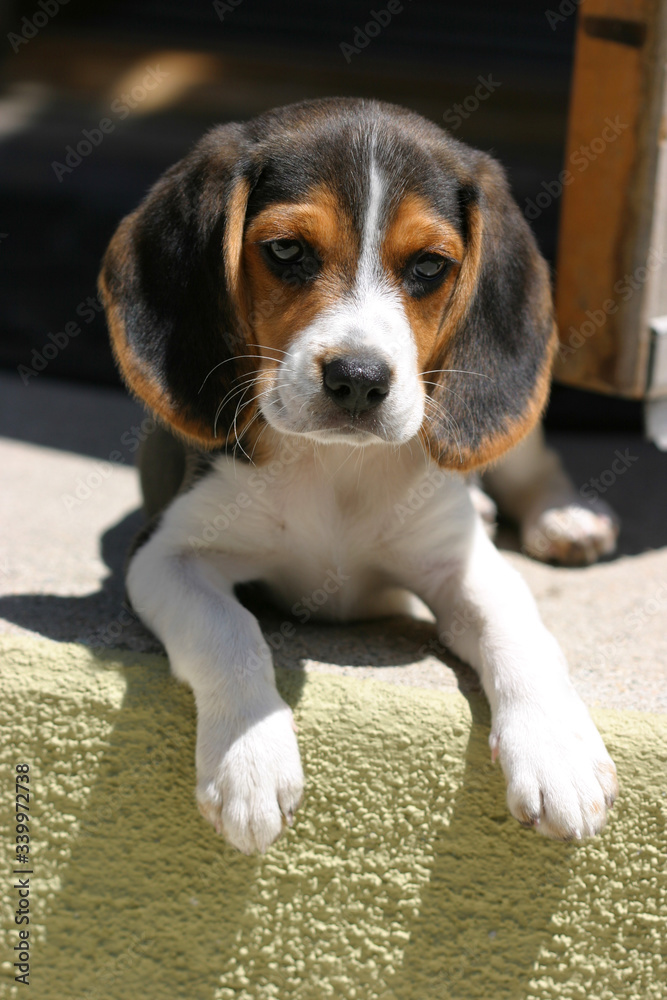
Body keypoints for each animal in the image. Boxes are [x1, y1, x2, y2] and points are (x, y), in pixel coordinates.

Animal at [100, 99, 620, 852]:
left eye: (430, 265)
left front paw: (558, 753)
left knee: (532, 464)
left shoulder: (462, 565)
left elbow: (519, 629)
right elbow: (228, 629)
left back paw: (565, 520)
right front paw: (249, 758)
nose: (358, 379)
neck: (337, 465)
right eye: (287, 251)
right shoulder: (167, 554)